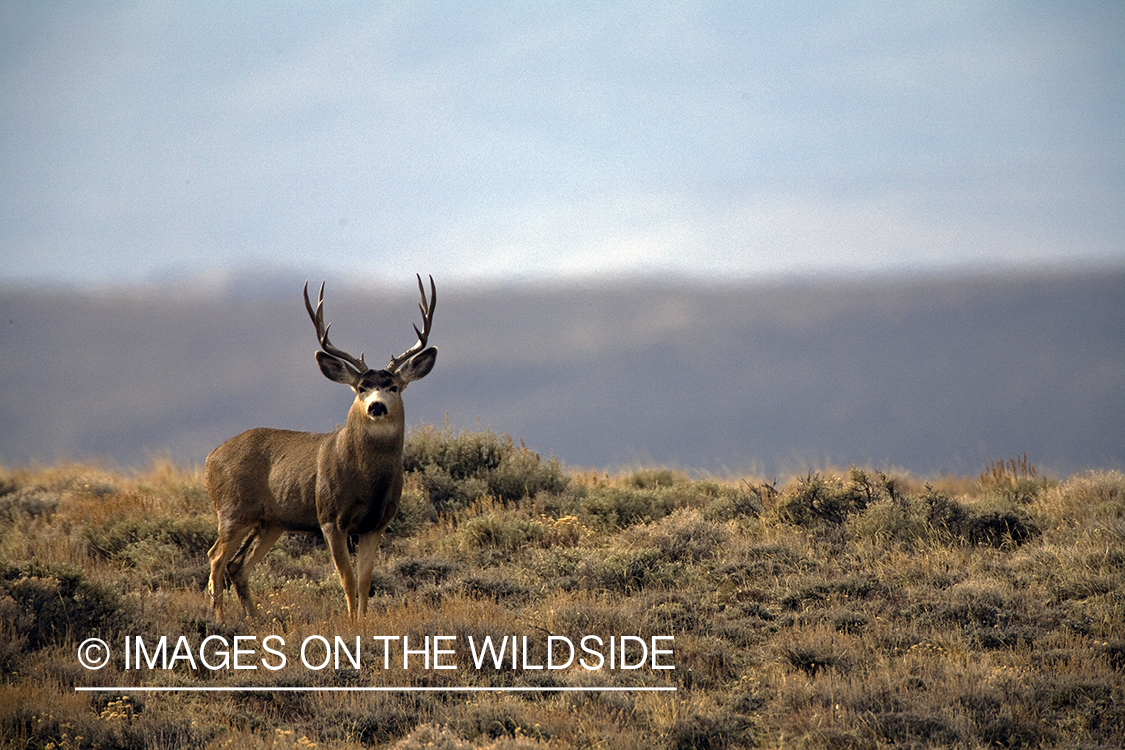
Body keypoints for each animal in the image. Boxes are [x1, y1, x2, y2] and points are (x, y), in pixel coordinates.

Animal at [204, 275, 437, 620]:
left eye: (394, 386)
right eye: (361, 388)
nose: (376, 406)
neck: (367, 480)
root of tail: (210, 458)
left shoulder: (377, 523)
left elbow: (365, 580)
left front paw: (364, 623)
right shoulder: (329, 516)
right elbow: (347, 579)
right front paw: (352, 624)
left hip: (271, 521)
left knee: (238, 565)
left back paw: (255, 622)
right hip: (232, 509)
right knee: (216, 557)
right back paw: (219, 620)